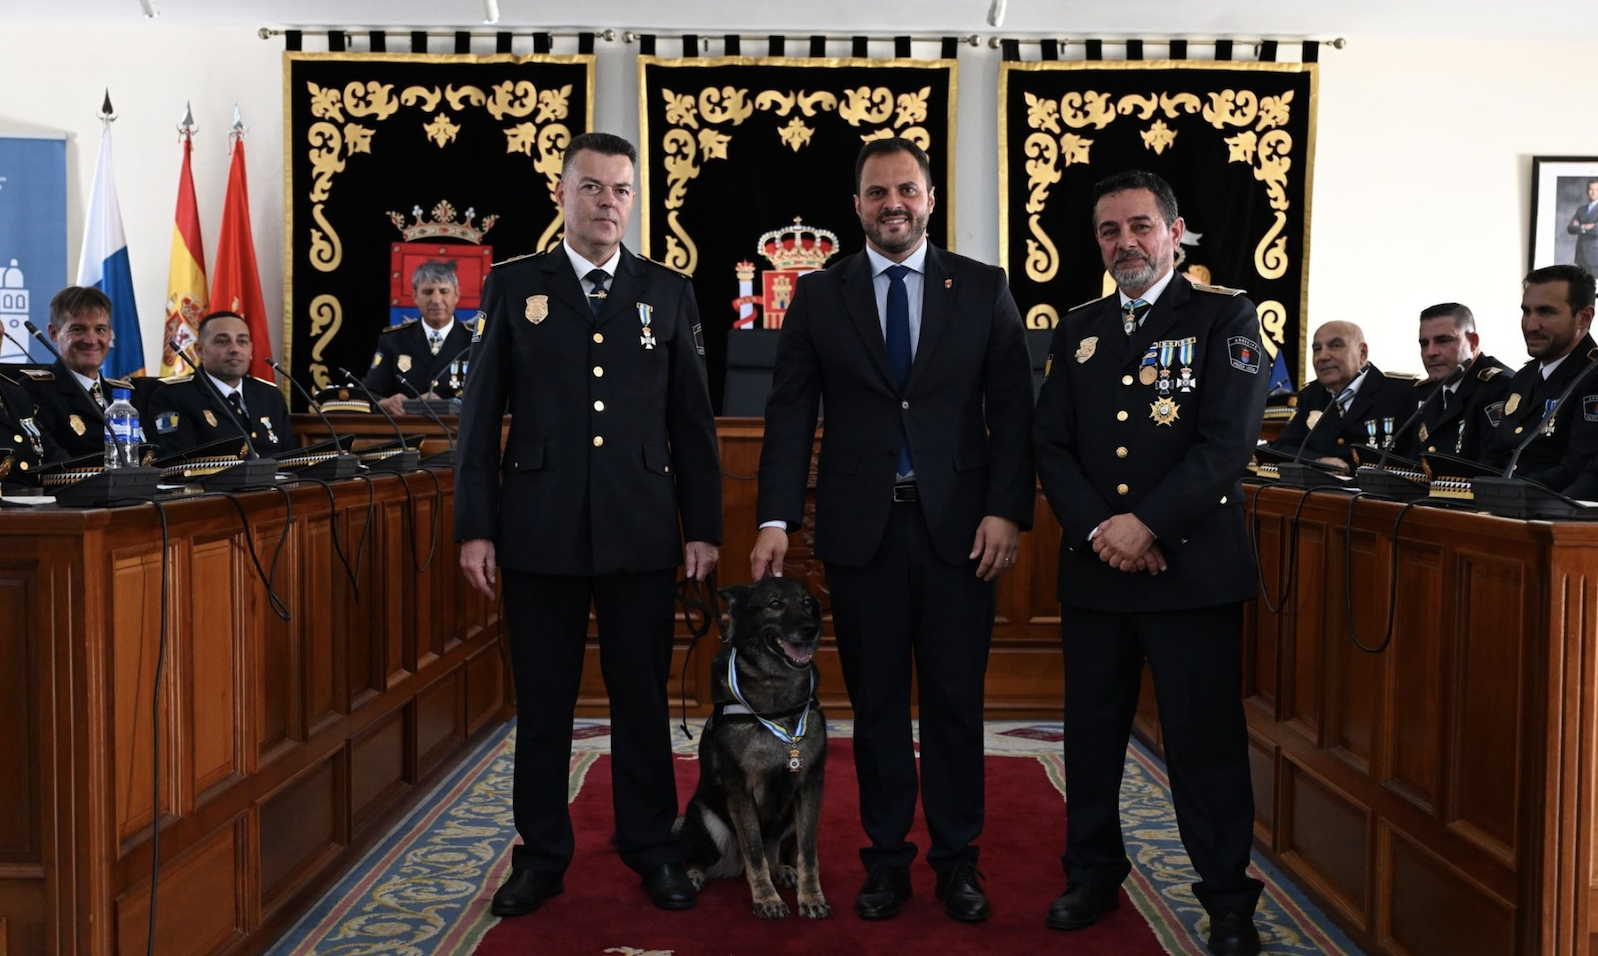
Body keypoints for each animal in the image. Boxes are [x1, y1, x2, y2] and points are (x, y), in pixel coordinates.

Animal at [677, 575, 830, 920]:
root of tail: (730, 867)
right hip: (707, 819)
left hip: (789, 820)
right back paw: (692, 874)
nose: (812, 628)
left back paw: (782, 869)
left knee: (775, 852)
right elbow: (754, 851)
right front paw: (766, 899)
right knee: (702, 856)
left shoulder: (810, 787)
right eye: (774, 604)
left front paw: (810, 896)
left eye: (808, 603)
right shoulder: (740, 791)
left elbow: (809, 854)